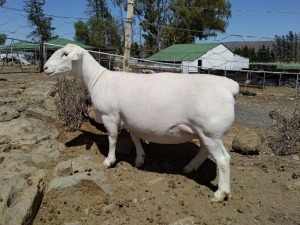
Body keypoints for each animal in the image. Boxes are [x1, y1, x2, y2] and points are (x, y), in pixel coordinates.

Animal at [44, 43, 239, 202]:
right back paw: (190, 167)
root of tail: (229, 87)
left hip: (210, 131)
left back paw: (221, 193)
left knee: (223, 159)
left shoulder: (110, 115)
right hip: (205, 132)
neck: (96, 79)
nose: (45, 67)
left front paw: (109, 161)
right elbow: (135, 138)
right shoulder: (131, 119)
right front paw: (140, 159)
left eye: (65, 54)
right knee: (205, 150)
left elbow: (112, 139)